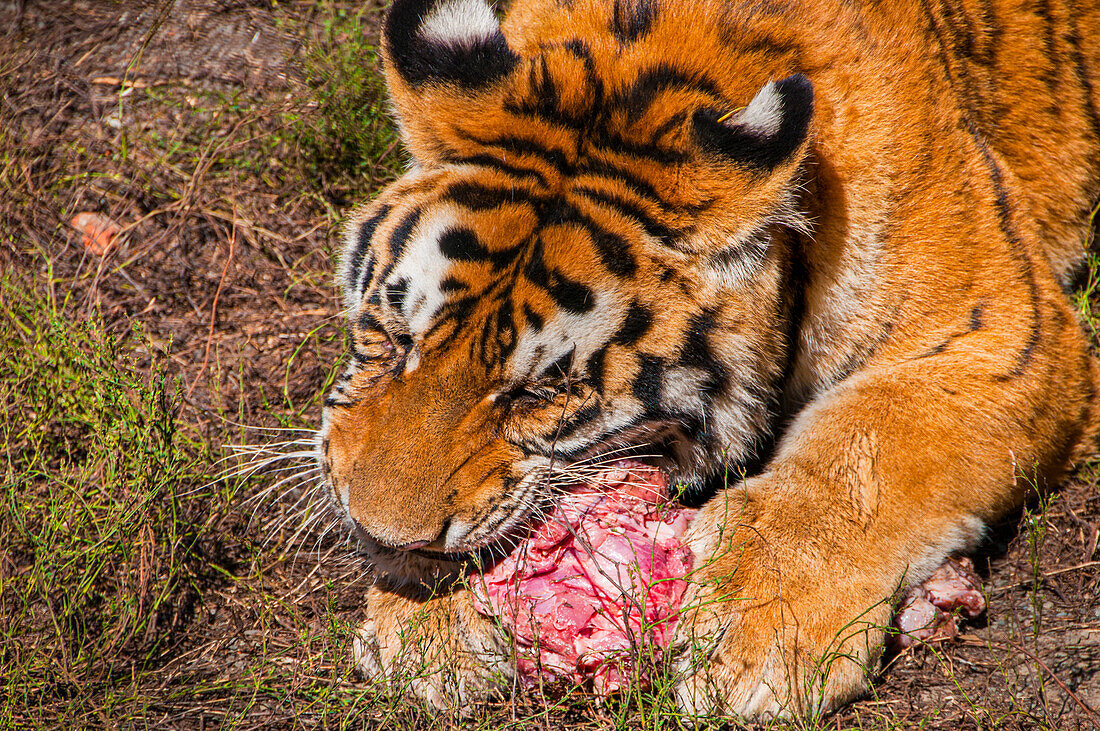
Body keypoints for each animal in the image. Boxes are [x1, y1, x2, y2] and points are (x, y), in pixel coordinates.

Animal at [316, 0, 1100, 721]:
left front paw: (759, 630)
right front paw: (421, 621)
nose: (381, 533)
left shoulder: (1006, 334)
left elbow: (867, 443)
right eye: (396, 339)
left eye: (543, 391)